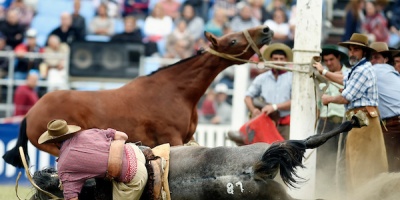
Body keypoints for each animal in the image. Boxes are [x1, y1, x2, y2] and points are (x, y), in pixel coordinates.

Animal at [3, 25, 274, 168]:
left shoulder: (187, 139)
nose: (265, 30)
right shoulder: (172, 139)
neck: (175, 91)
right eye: (233, 40)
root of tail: (30, 113)